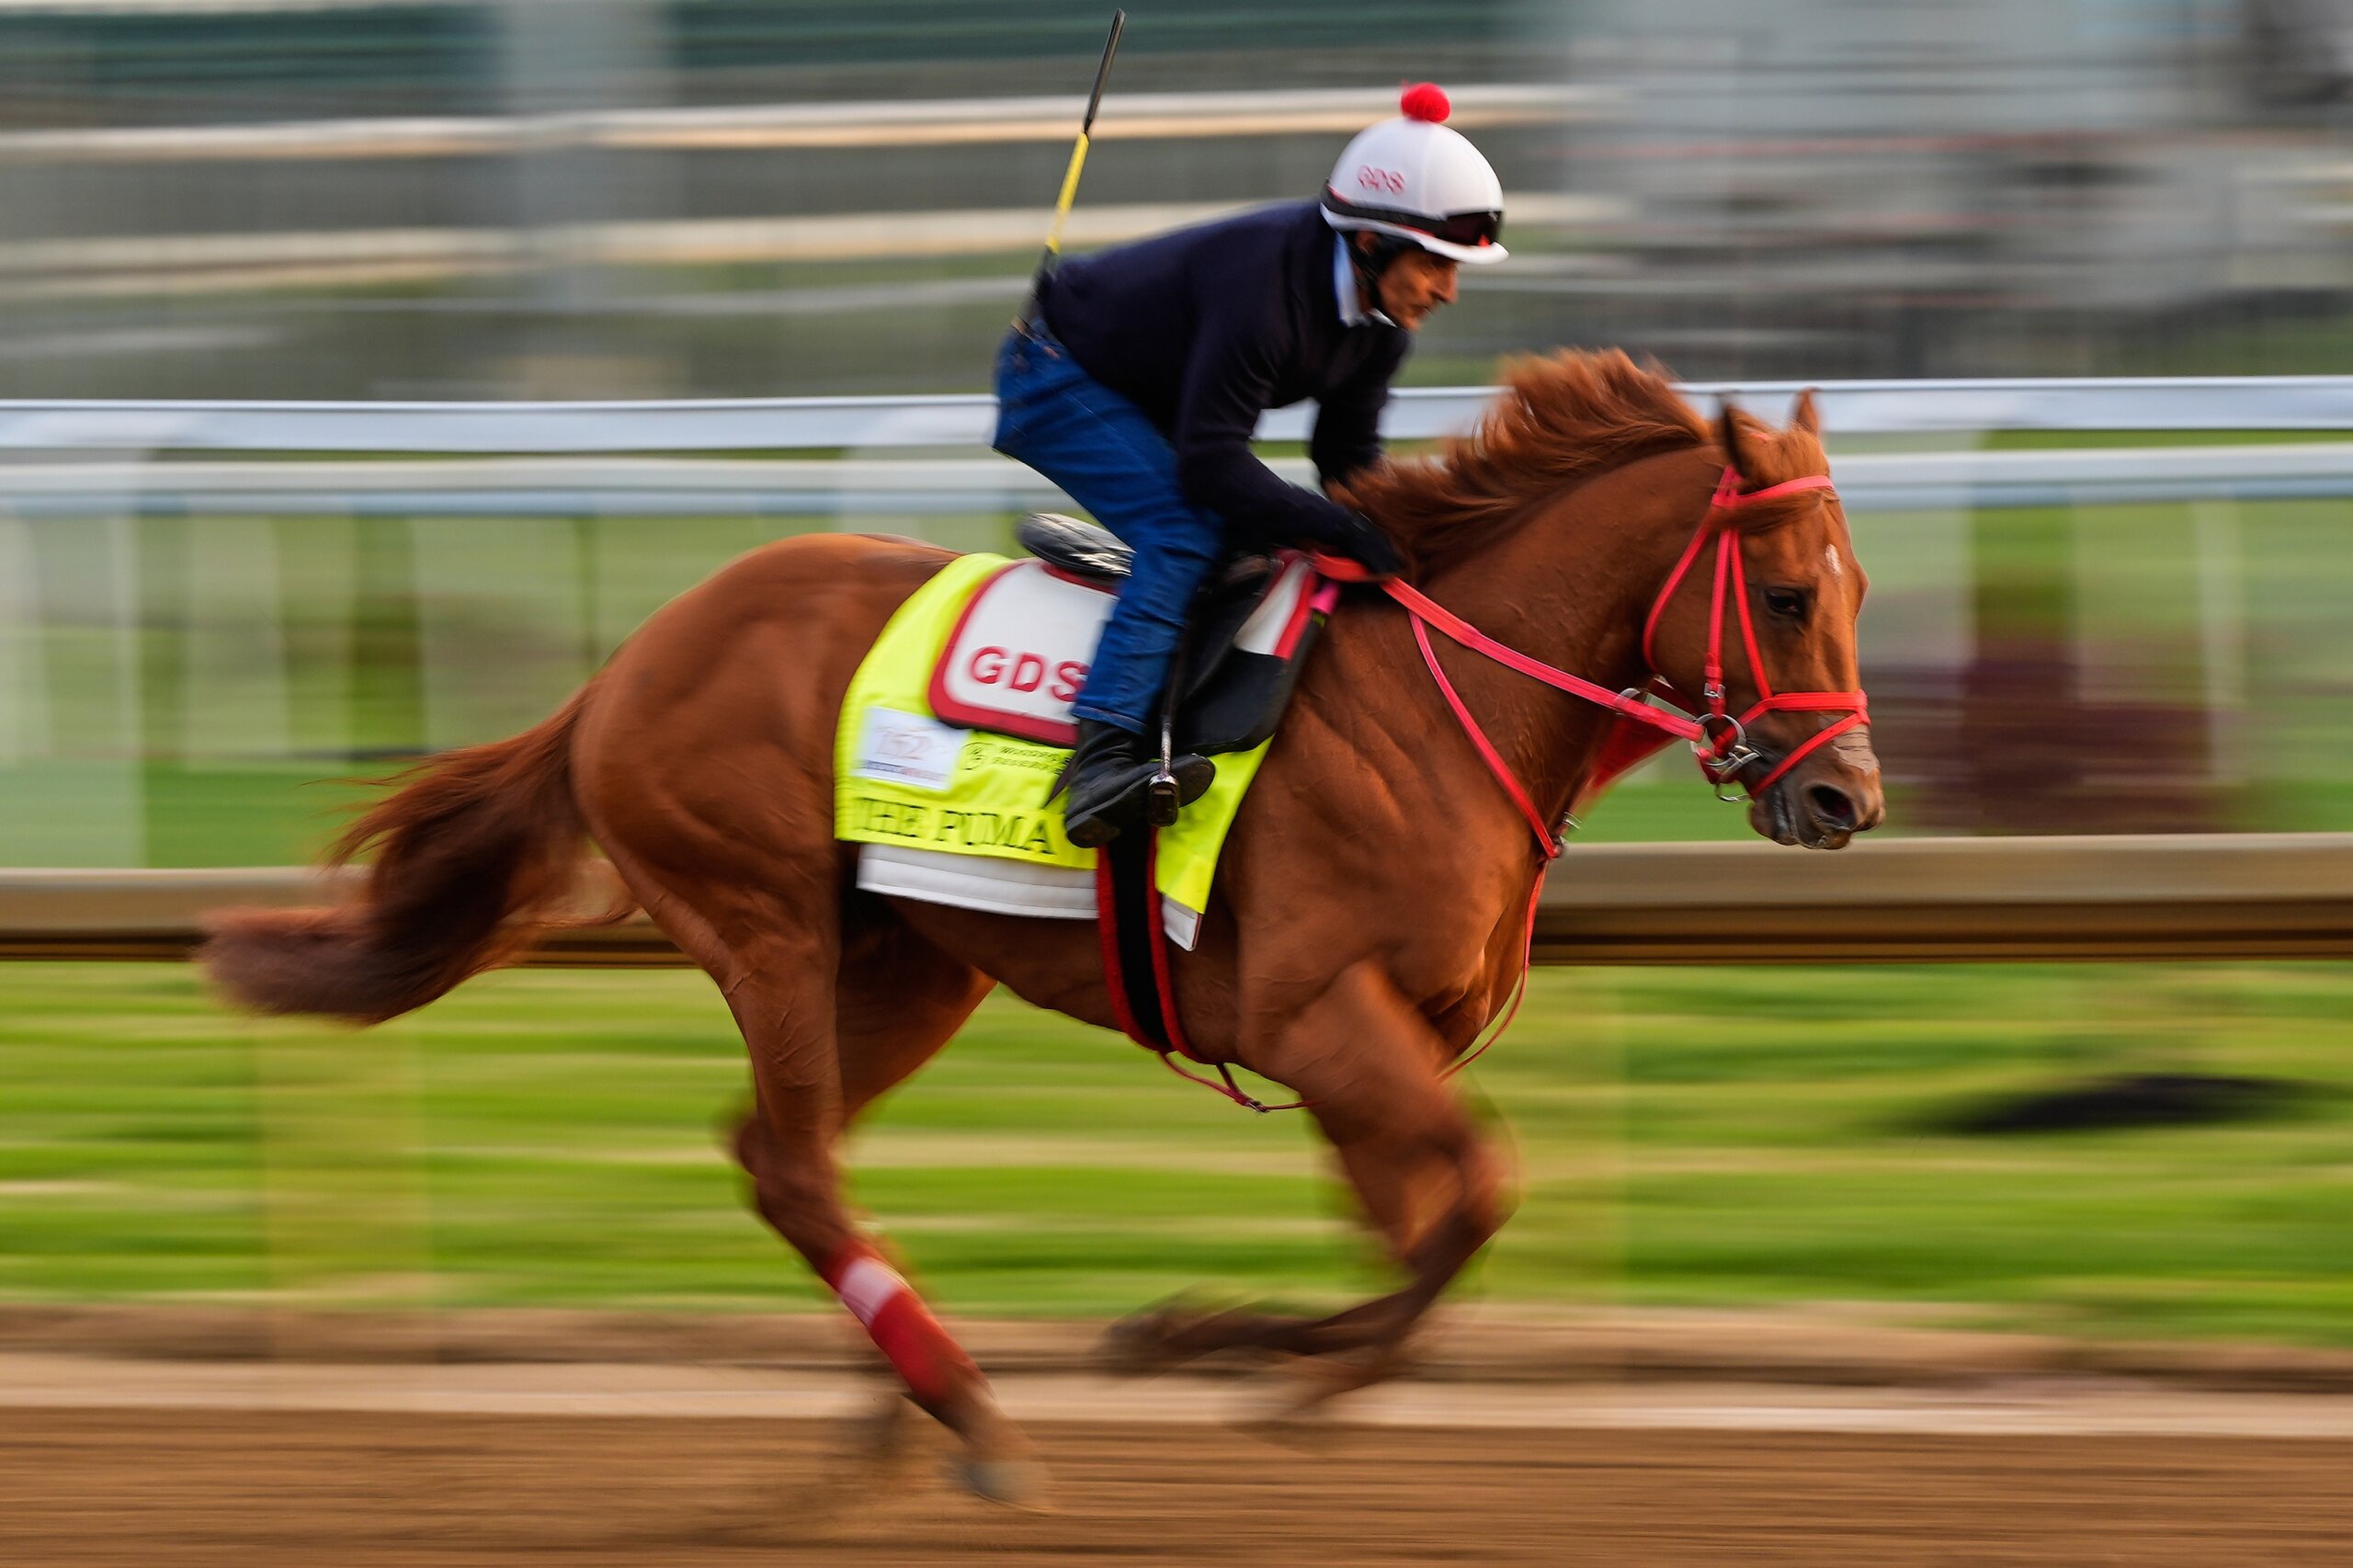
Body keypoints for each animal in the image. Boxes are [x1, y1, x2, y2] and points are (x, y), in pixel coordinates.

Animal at [202, 350, 1883, 1506]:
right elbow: (1475, 1198)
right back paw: (968, 1411)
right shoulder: (1320, 1017)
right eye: (1788, 595)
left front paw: (1241, 1345)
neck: (1444, 701)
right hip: (769, 921)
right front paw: (1216, 1350)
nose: (1846, 799)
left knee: (782, 1156)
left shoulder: (1380, 1049)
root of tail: (628, 664)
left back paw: (909, 1414)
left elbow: (1422, 1231)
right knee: (796, 1164)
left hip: (909, 964)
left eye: (1856, 586)